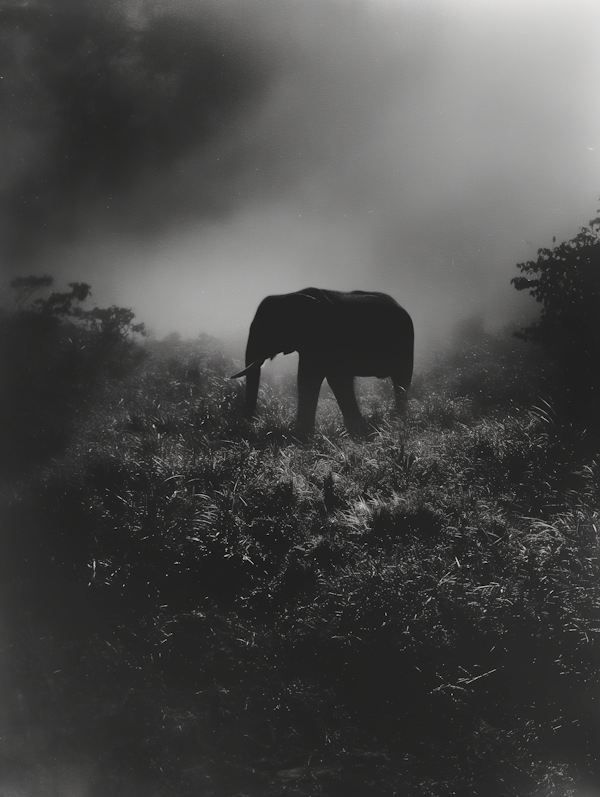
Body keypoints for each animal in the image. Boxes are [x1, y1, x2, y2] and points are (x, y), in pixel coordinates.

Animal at [230, 288, 412, 436]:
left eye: (269, 328)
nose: (251, 420)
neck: (289, 295)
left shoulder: (325, 337)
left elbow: (317, 377)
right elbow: (315, 377)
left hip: (405, 343)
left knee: (402, 378)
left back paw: (398, 419)